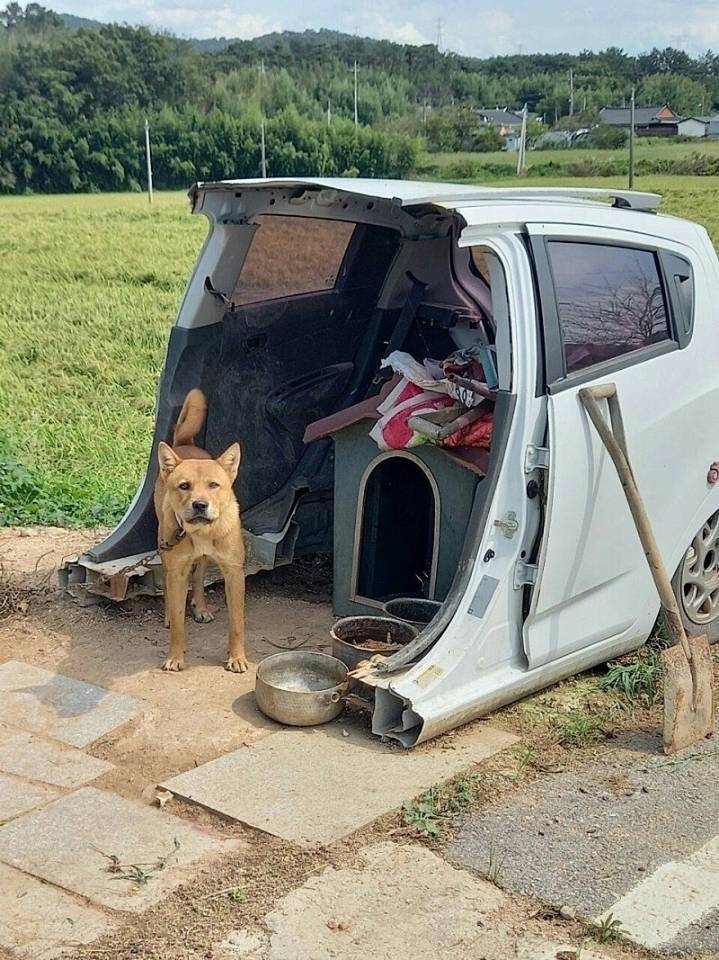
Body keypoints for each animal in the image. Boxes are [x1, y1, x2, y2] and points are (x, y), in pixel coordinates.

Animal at [153, 390, 249, 676]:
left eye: (213, 485)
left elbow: (236, 624)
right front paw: (175, 657)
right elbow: (178, 624)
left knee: (198, 579)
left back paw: (202, 607)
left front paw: (236, 658)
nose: (199, 505)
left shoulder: (234, 573)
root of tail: (184, 443)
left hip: (205, 560)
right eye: (184, 486)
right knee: (170, 589)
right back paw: (168, 615)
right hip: (162, 548)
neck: (200, 532)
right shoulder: (177, 572)